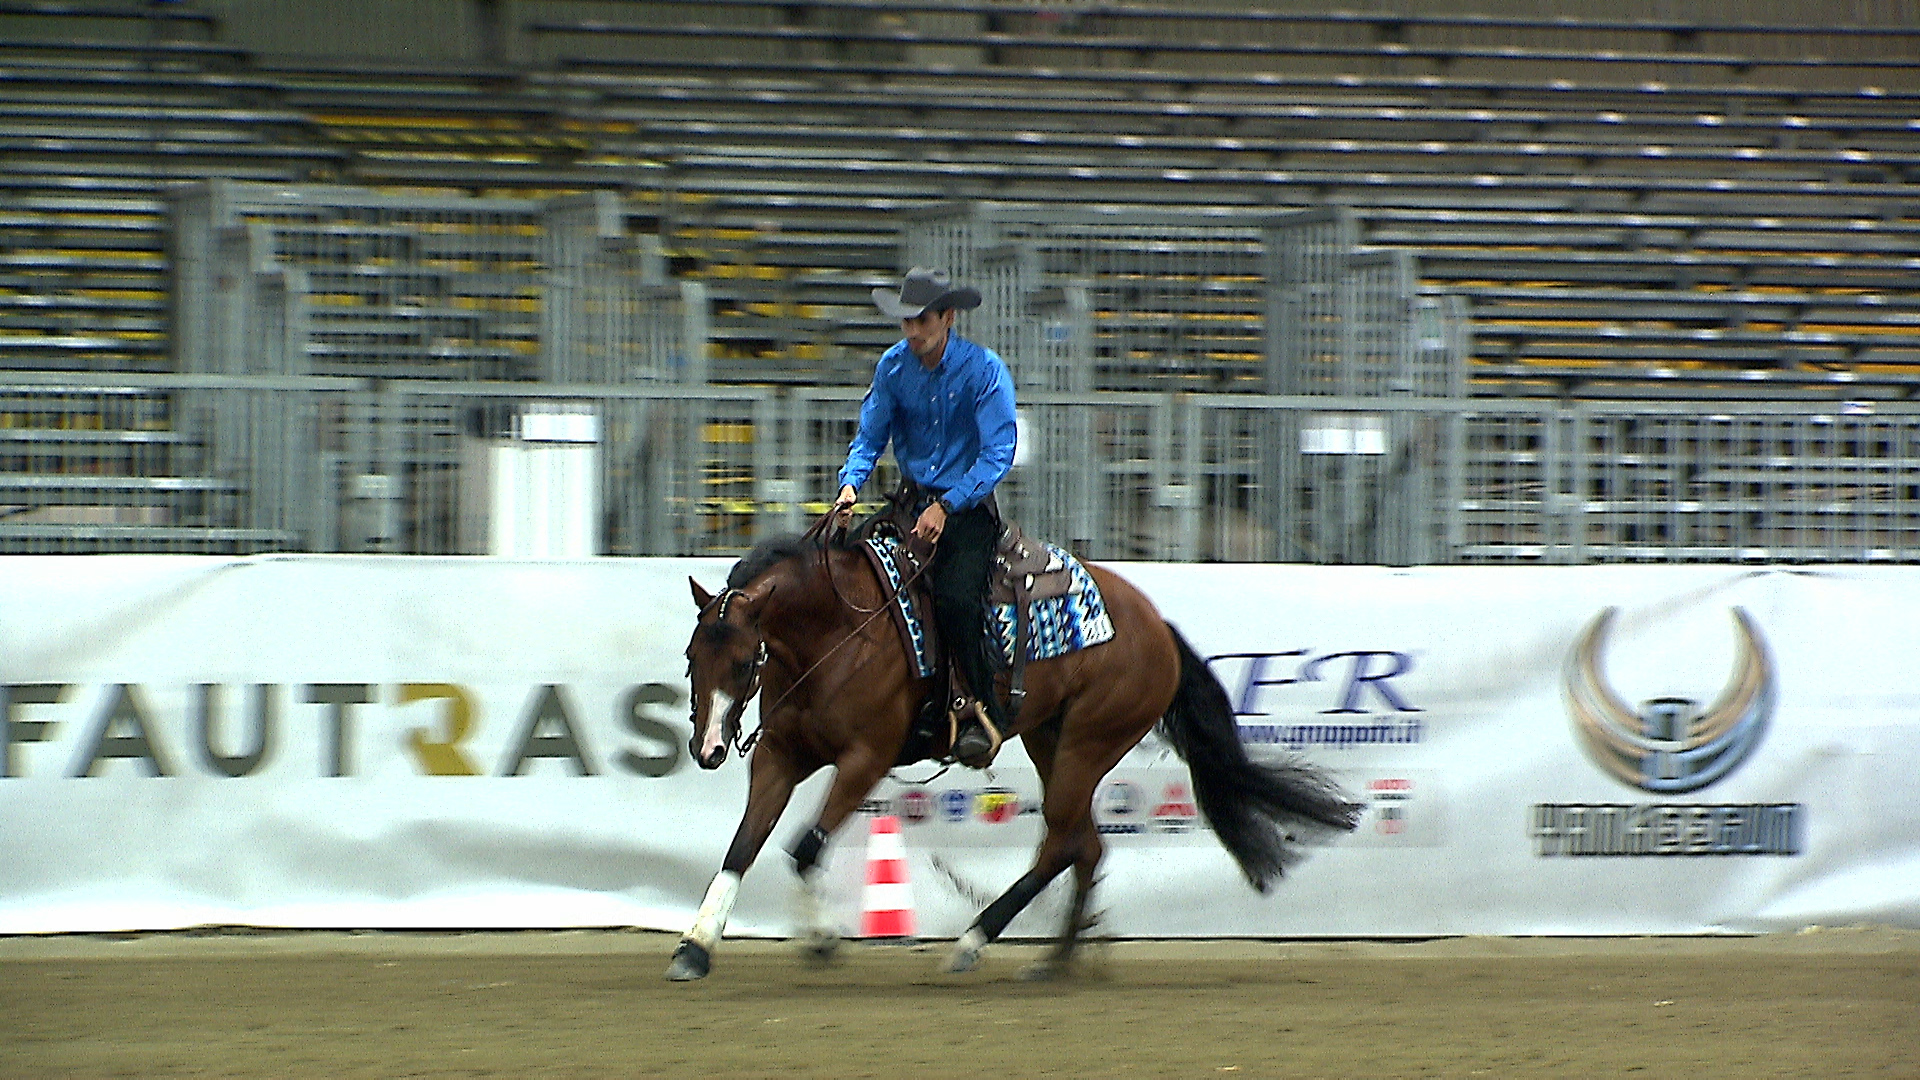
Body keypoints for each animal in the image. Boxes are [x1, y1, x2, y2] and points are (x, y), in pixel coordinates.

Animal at [666, 524, 1360, 981]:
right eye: (692, 656)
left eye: (743, 659)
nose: (707, 747)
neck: (838, 633)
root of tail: (1156, 626)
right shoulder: (781, 755)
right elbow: (743, 848)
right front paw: (695, 947)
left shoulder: (866, 758)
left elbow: (804, 848)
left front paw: (824, 940)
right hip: (1048, 737)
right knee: (1084, 844)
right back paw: (1058, 959)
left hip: (1089, 740)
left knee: (1061, 841)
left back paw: (974, 942)